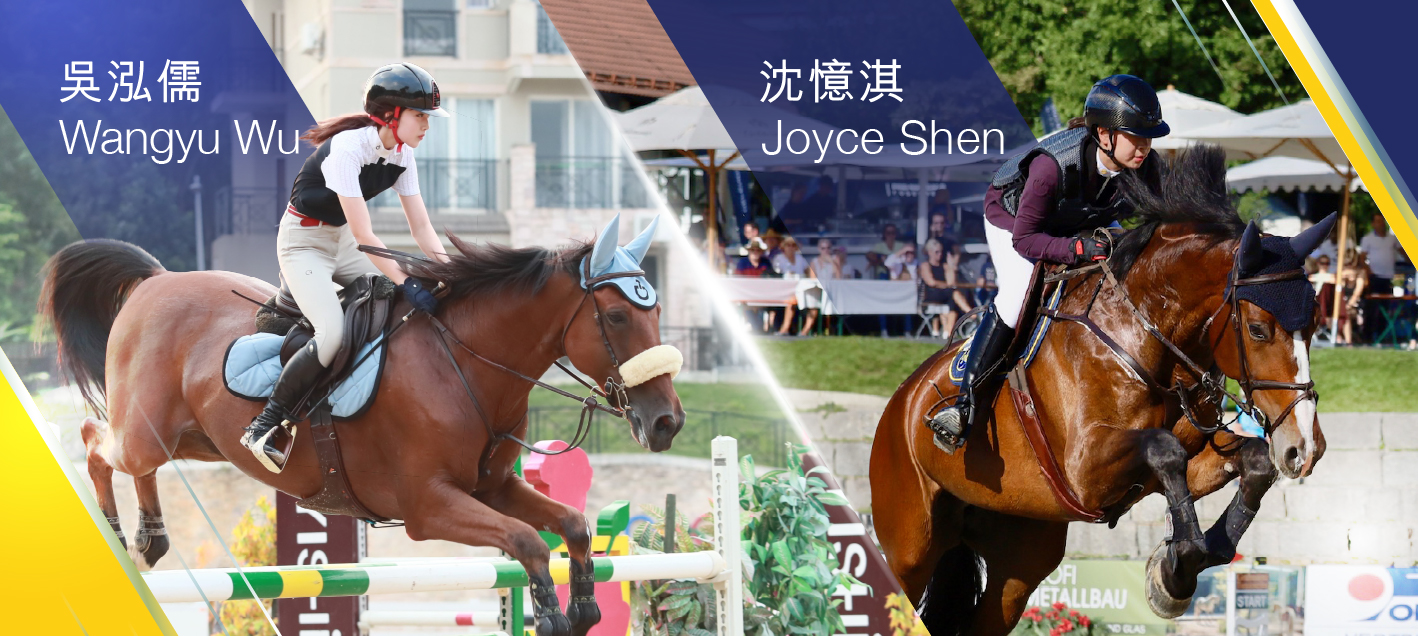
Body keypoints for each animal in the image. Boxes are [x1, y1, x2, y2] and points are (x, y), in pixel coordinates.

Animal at [40, 214, 685, 636]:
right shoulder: (429, 505)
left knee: (137, 464)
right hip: (144, 431)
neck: (466, 361)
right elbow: (527, 540)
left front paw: (582, 604)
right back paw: (118, 533)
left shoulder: (493, 488)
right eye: (617, 316)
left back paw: (150, 535)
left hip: (196, 442)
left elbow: (573, 525)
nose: (667, 423)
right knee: (97, 443)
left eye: (656, 309)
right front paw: (550, 610)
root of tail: (155, 281)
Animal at [869, 146, 1333, 636]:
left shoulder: (1172, 465)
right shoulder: (1086, 471)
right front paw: (1178, 566)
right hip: (910, 546)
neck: (1143, 337)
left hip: (1018, 561)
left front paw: (1181, 567)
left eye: (1316, 324)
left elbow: (1253, 461)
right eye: (1259, 330)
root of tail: (904, 397)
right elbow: (1165, 448)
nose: (1305, 449)